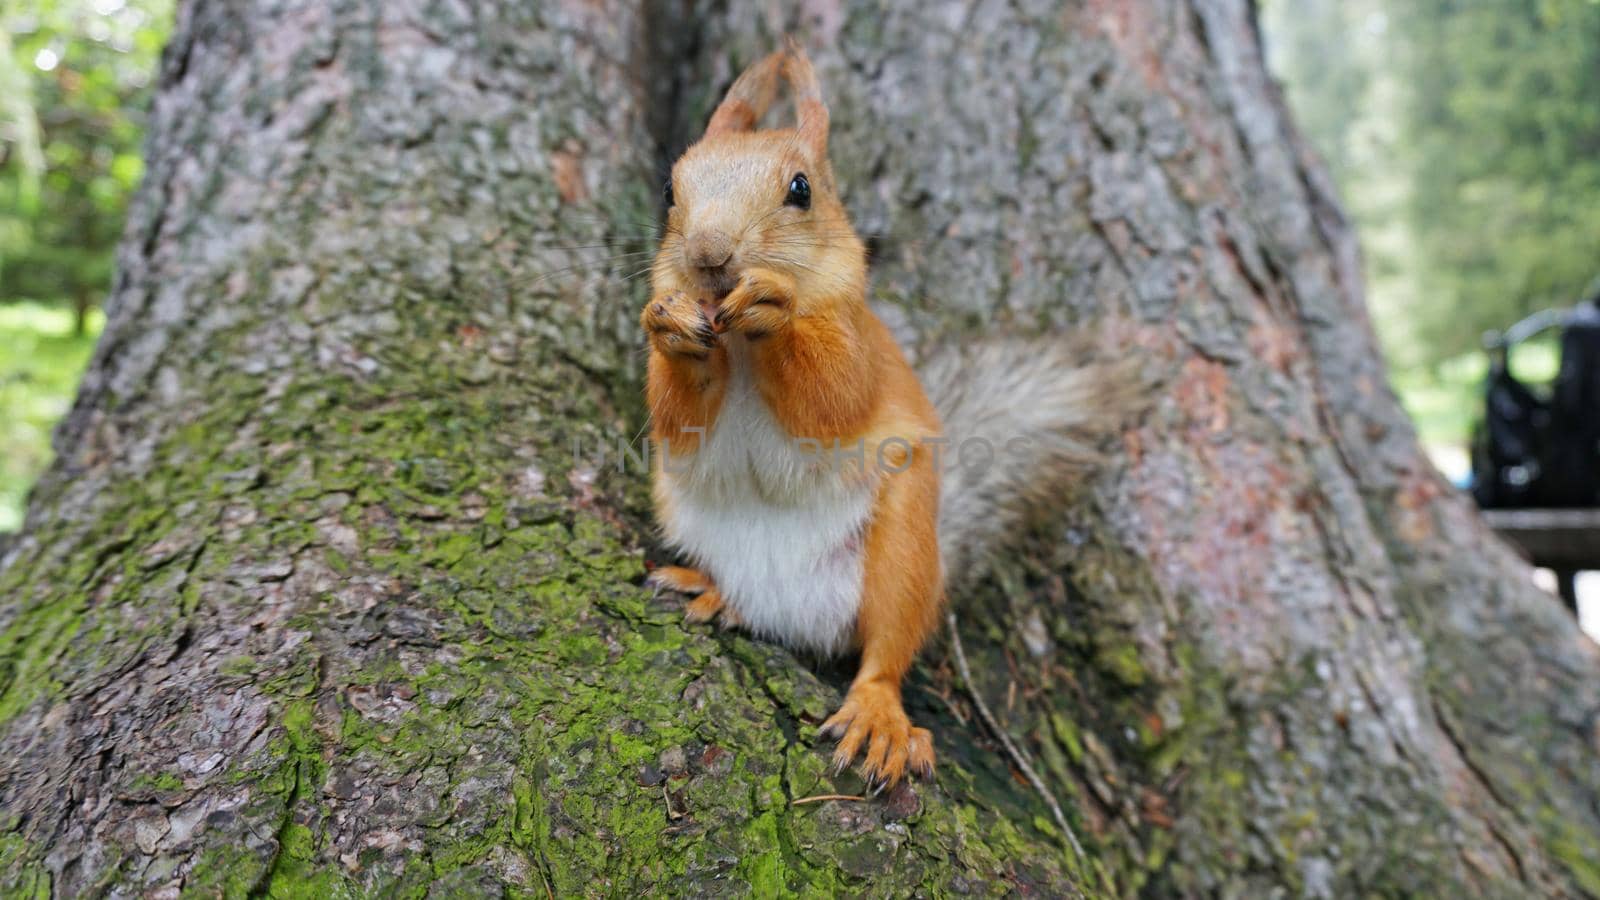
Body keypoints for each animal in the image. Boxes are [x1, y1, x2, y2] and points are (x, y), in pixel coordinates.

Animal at [640, 42, 1126, 784]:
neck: (738, 347)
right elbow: (676, 419)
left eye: (801, 190)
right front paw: (670, 324)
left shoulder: (860, 344)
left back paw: (879, 716)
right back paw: (717, 592)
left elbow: (834, 397)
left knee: (885, 652)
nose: (708, 254)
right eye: (670, 191)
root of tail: (787, 605)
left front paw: (775, 307)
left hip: (901, 554)